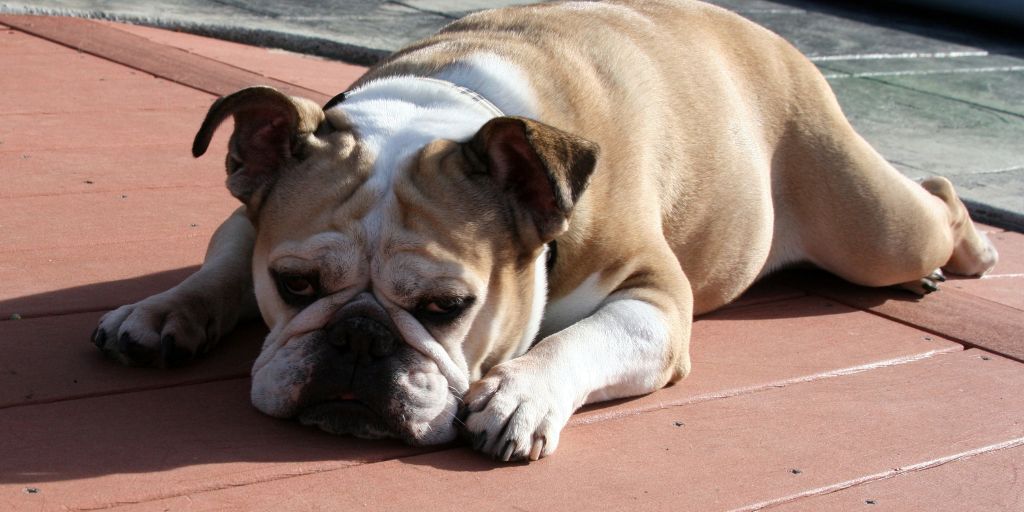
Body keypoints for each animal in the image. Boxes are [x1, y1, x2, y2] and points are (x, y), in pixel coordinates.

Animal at [92, 0, 995, 462]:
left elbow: (581, 339)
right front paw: (161, 313)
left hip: (869, 225)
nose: (357, 339)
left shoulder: (654, 301)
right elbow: (220, 263)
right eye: (295, 285)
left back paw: (971, 250)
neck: (440, 107)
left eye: (448, 308)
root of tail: (759, 30)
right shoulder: (252, 217)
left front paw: (521, 393)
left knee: (934, 201)